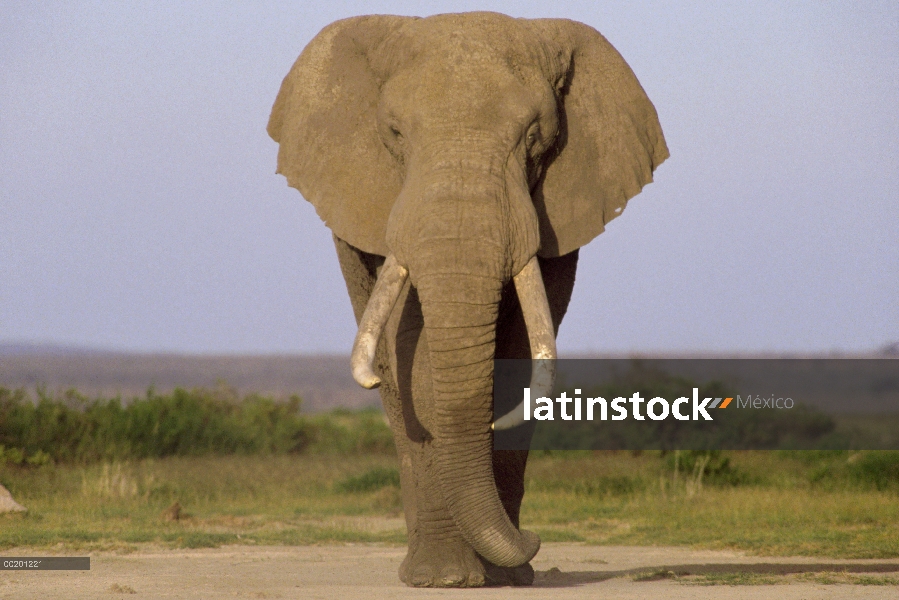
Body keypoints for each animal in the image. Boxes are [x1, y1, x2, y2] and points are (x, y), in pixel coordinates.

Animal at [268, 11, 668, 588]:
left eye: (534, 137)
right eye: (395, 133)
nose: (535, 539)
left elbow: (520, 350)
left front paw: (504, 574)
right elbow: (415, 353)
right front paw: (449, 579)